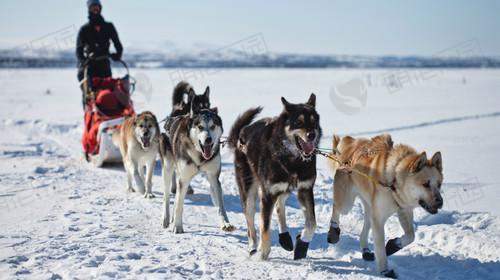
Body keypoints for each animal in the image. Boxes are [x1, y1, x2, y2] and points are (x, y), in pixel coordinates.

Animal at [330, 134, 444, 278]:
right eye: (426, 184)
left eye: (439, 184)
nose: (440, 202)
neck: (394, 182)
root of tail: (351, 143)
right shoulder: (379, 220)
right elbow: (380, 248)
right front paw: (385, 270)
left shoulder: (404, 210)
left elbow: (411, 236)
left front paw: (393, 245)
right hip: (347, 203)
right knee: (336, 209)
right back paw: (333, 231)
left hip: (369, 208)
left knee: (365, 226)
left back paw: (365, 250)